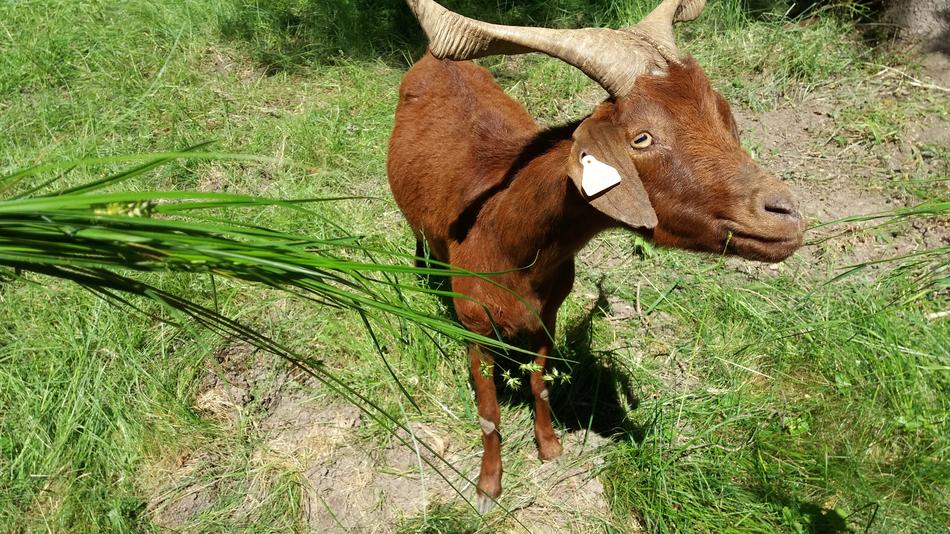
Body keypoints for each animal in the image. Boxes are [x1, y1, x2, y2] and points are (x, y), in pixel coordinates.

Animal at [387, 0, 805, 513]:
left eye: (724, 117)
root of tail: (432, 60)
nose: (785, 214)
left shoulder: (547, 314)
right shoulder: (474, 325)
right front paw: (488, 487)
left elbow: (540, 382)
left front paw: (549, 447)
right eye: (641, 138)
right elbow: (488, 412)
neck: (502, 236)